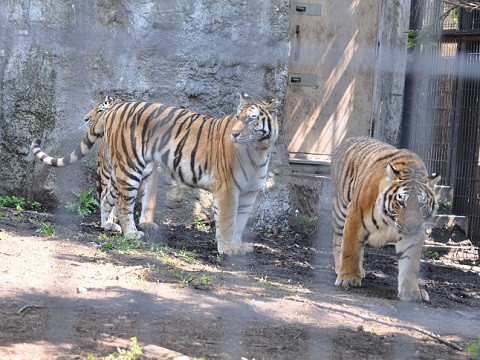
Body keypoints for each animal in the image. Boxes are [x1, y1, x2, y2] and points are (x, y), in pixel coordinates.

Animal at [82, 95, 158, 232]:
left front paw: (147, 223)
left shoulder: (151, 173)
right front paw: (110, 222)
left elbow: (149, 199)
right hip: (106, 170)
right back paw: (111, 220)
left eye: (100, 111)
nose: (85, 119)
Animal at [330, 136, 438, 300]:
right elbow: (350, 249)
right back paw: (340, 268)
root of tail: (349, 139)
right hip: (341, 211)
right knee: (338, 241)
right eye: (401, 202)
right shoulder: (354, 217)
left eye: (421, 204)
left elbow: (410, 263)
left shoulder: (416, 233)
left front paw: (412, 292)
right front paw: (348, 278)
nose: (411, 226)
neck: (390, 221)